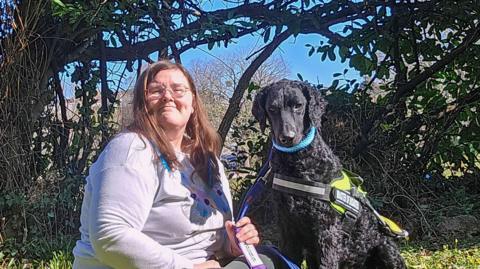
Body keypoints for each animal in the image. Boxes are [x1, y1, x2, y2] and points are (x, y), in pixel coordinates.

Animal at [251, 79, 404, 268]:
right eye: (272, 109)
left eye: (298, 105)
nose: (287, 137)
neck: (297, 163)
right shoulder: (287, 229)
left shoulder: (327, 231)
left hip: (386, 249)